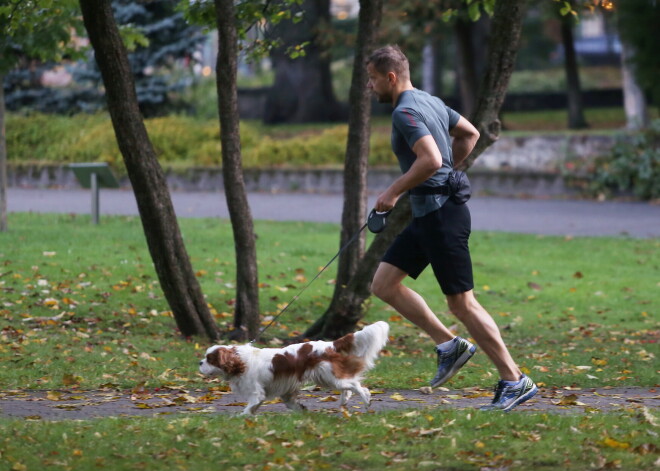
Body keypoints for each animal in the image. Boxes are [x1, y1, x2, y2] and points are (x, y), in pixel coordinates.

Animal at [199, 320, 390, 416]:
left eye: (209, 359)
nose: (199, 362)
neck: (240, 361)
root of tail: (329, 345)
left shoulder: (256, 392)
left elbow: (249, 407)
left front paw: (241, 417)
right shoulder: (285, 389)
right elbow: (291, 403)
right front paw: (302, 411)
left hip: (328, 376)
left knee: (357, 386)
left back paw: (366, 400)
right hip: (328, 377)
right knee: (348, 386)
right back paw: (344, 401)